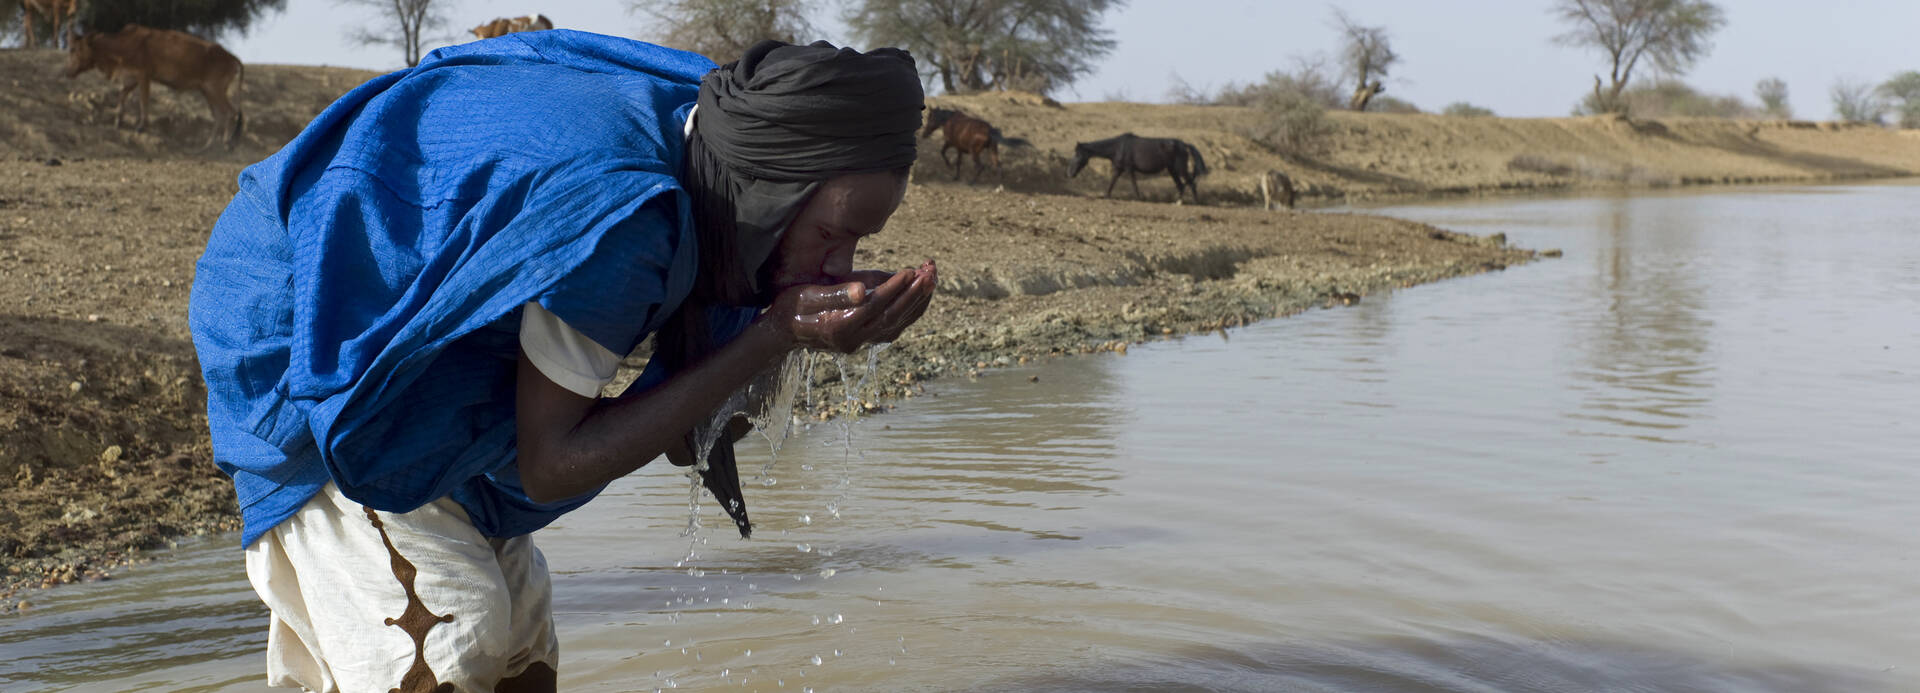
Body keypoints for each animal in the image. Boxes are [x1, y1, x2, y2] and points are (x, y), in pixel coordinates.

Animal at [65, 25, 243, 148]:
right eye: (71, 49)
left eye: (76, 50)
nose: (68, 71)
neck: (122, 46)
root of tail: (233, 58)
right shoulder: (131, 78)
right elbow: (122, 96)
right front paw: (118, 121)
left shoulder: (144, 75)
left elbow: (143, 101)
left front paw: (141, 127)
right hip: (207, 92)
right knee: (219, 115)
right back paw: (208, 145)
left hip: (215, 89)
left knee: (230, 112)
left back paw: (227, 143)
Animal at [1067, 132, 1213, 202]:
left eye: (1078, 155)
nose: (1070, 173)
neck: (1117, 147)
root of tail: (1184, 144)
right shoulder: (1119, 169)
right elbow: (1112, 182)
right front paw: (1106, 196)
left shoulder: (1128, 168)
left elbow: (1133, 183)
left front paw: (1139, 197)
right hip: (1172, 170)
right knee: (1181, 185)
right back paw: (1177, 202)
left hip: (1179, 168)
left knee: (1191, 183)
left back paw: (1195, 202)